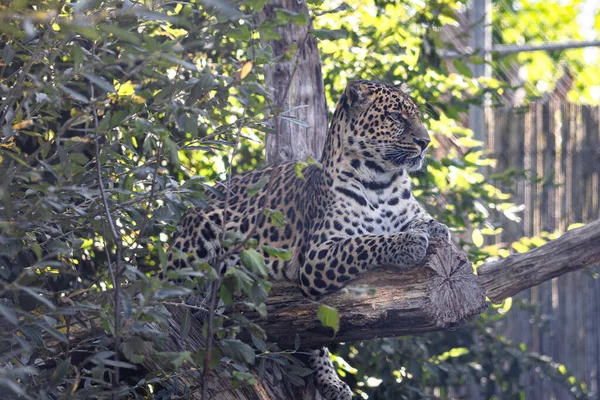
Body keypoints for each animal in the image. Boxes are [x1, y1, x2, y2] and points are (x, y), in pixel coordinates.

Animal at [169, 79, 450, 398]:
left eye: (415, 116)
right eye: (395, 117)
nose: (425, 142)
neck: (382, 183)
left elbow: (418, 219)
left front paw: (436, 228)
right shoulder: (317, 256)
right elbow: (364, 242)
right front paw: (408, 242)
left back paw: (332, 383)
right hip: (203, 228)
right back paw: (197, 299)